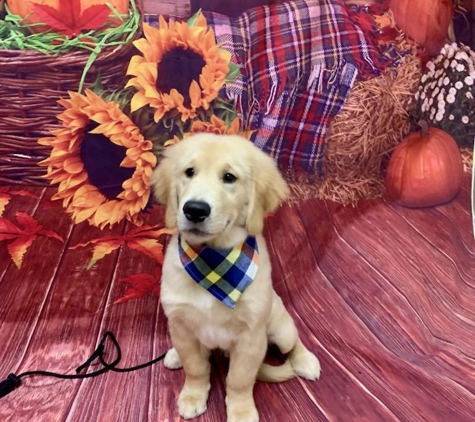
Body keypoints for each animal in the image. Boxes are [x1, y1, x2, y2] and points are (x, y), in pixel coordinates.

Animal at [154, 134, 322, 420]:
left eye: (229, 177)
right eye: (189, 172)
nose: (194, 210)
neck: (213, 264)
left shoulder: (251, 337)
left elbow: (239, 380)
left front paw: (241, 411)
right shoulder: (181, 327)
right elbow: (196, 368)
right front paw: (193, 395)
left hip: (280, 326)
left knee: (293, 341)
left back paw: (305, 360)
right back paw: (175, 355)